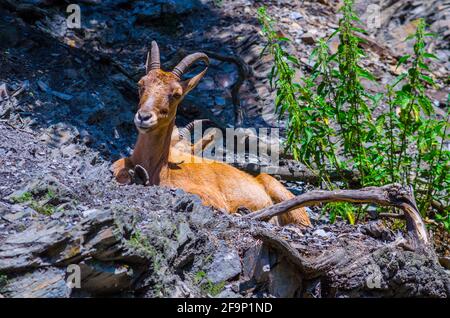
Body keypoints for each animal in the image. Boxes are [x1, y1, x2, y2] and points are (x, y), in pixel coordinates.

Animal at [112, 41, 310, 226]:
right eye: (141, 84)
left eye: (176, 94)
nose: (144, 117)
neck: (161, 169)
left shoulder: (210, 197)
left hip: (287, 201)